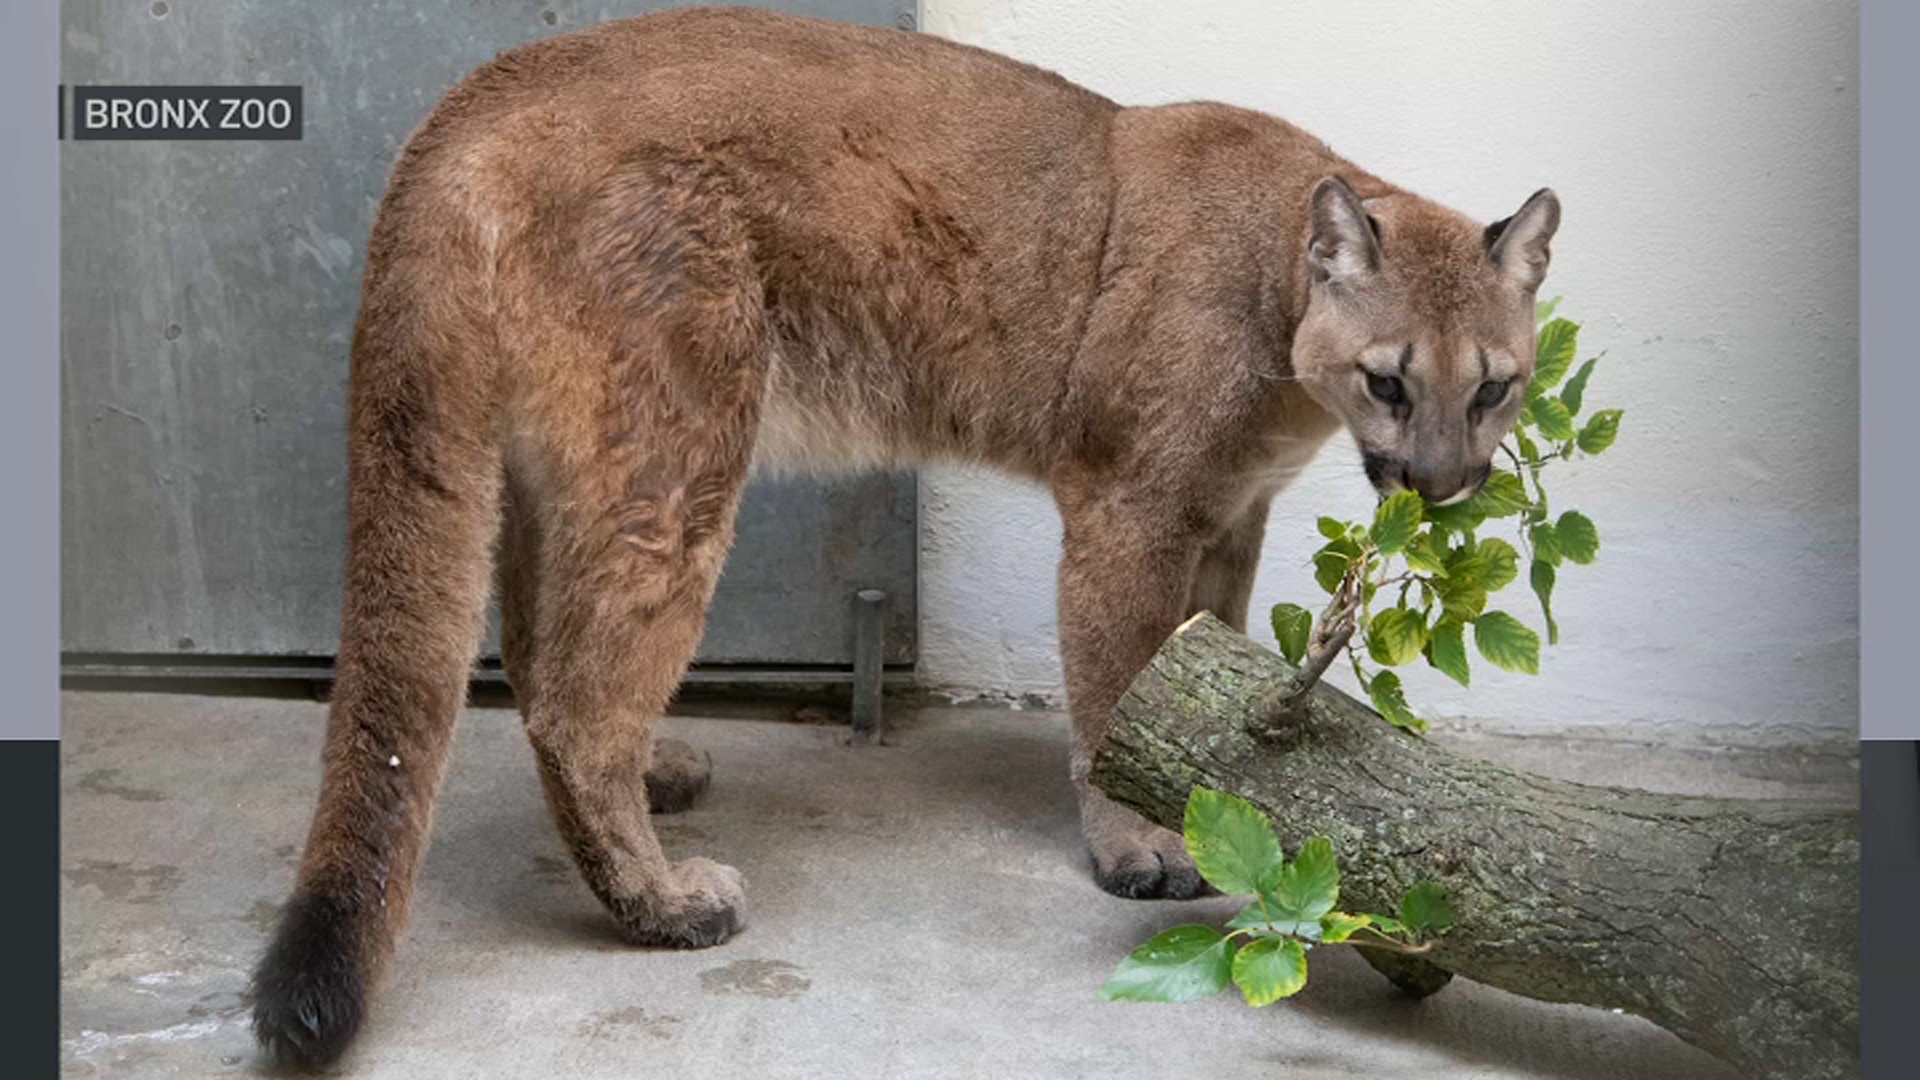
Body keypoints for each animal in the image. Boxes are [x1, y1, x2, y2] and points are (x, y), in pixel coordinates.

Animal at [247, 6, 1559, 1060]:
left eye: (1495, 388)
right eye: (1391, 381)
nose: (1444, 486)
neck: (1281, 304)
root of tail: (481, 91)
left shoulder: (1229, 520)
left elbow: (1206, 684)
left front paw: (1217, 804)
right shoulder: (1129, 510)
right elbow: (1120, 689)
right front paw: (1136, 845)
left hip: (561, 465)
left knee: (533, 649)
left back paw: (658, 782)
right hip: (674, 454)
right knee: (579, 695)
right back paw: (665, 906)